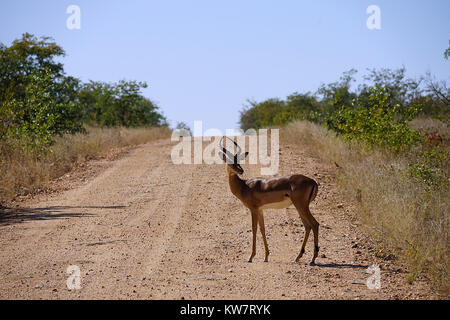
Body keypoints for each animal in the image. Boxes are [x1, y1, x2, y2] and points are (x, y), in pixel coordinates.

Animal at [219, 136, 320, 264]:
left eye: (239, 161)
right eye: (230, 162)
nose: (241, 171)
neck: (244, 186)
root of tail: (313, 181)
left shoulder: (253, 209)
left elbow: (254, 229)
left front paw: (251, 257)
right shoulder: (260, 210)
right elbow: (263, 229)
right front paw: (266, 256)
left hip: (301, 206)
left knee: (314, 224)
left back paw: (312, 259)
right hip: (300, 207)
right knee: (308, 226)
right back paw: (298, 257)